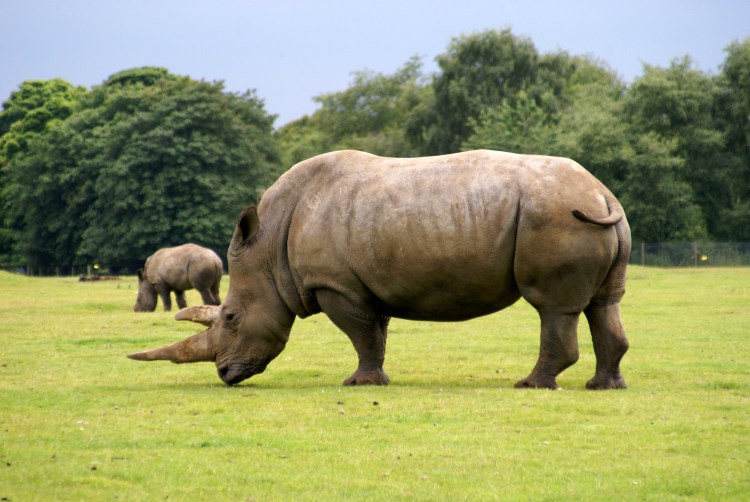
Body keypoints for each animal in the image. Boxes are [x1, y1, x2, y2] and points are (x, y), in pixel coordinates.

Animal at [129, 150, 630, 390]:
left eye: (231, 318)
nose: (225, 375)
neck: (268, 252)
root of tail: (602, 193)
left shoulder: (335, 285)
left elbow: (361, 334)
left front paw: (358, 383)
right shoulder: (363, 283)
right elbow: (377, 332)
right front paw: (374, 380)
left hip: (556, 215)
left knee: (553, 307)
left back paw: (530, 386)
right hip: (596, 217)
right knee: (602, 304)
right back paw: (603, 387)